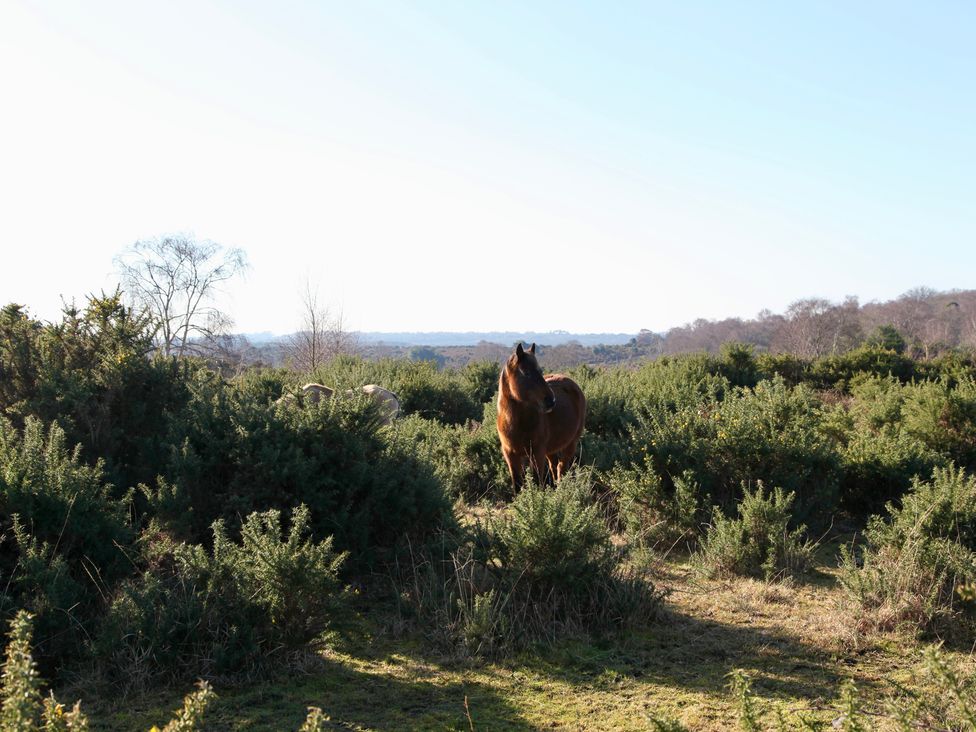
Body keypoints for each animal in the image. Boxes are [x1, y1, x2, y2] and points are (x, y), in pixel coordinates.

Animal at [500, 344, 584, 492]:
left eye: (540, 371)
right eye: (526, 372)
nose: (551, 401)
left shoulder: (537, 453)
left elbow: (536, 480)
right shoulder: (510, 454)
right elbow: (517, 484)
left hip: (571, 443)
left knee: (562, 468)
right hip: (551, 449)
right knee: (555, 467)